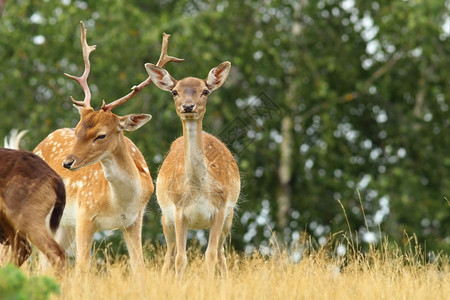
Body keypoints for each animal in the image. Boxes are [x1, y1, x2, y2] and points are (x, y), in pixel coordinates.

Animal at [32, 21, 183, 270]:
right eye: (77, 129)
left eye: (101, 135)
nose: (67, 162)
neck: (117, 204)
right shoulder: (84, 214)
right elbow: (82, 268)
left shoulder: (134, 220)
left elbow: (139, 267)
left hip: (62, 226)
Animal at [146, 60, 241, 278]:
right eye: (174, 92)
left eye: (205, 91)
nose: (188, 106)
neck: (197, 190)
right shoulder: (179, 211)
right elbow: (181, 259)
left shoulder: (220, 209)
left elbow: (211, 255)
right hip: (166, 218)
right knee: (169, 255)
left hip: (230, 217)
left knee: (221, 254)